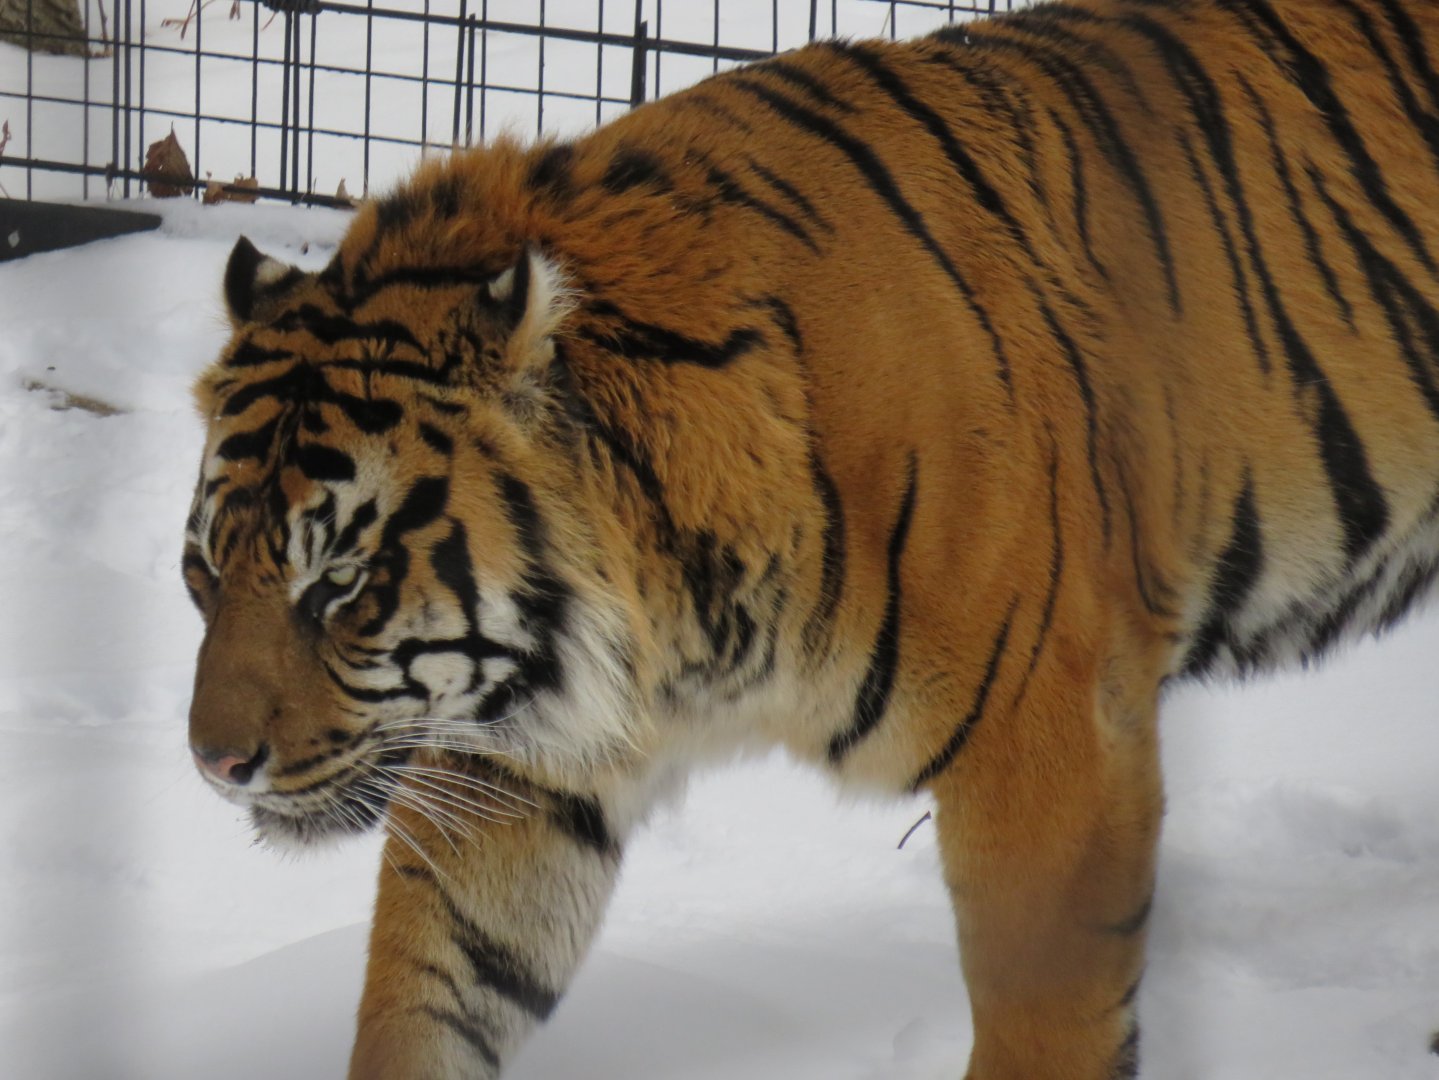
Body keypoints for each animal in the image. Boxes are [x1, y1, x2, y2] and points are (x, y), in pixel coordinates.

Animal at [182, 0, 1439, 1076]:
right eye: (202, 577)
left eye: (341, 584)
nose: (213, 766)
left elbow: (1043, 1023)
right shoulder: (530, 753)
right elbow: (435, 985)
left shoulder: (1048, 745)